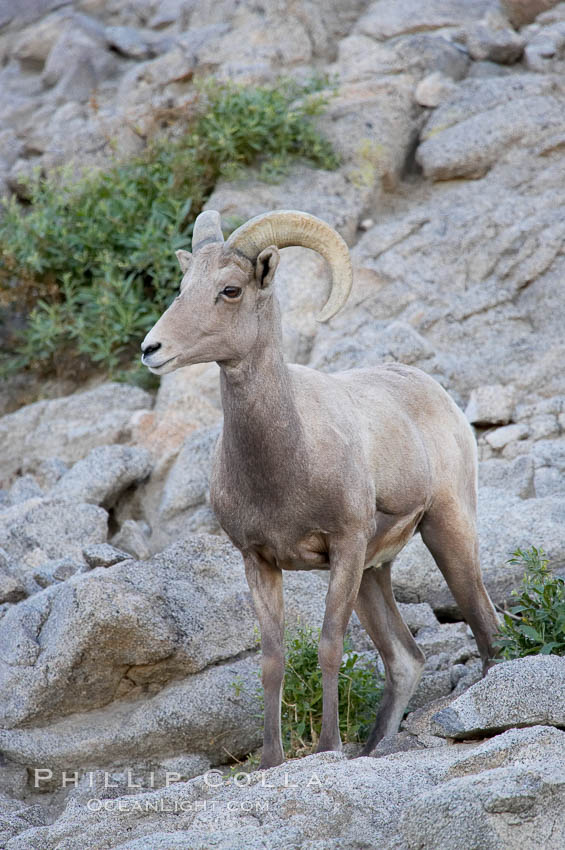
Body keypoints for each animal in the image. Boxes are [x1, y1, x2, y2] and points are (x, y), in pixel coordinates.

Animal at [141, 207, 498, 768]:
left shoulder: (344, 547)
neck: (286, 462)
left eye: (229, 290)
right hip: (374, 575)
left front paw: (328, 747)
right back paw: (374, 747)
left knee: (485, 626)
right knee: (406, 658)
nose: (151, 349)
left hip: (446, 532)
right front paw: (272, 760)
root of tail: (434, 392)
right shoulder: (259, 562)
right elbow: (272, 658)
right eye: (184, 287)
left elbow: (330, 645)